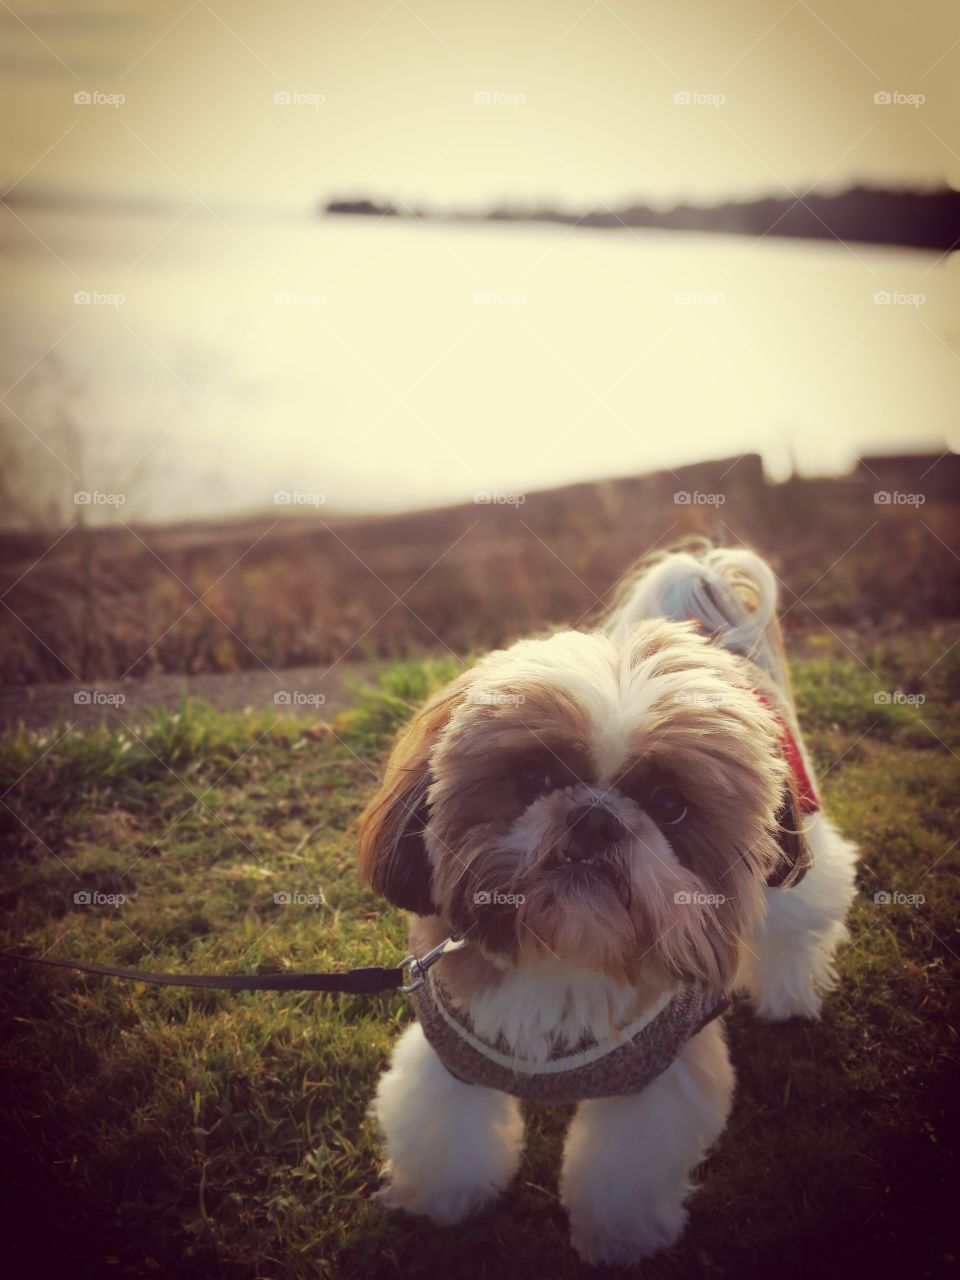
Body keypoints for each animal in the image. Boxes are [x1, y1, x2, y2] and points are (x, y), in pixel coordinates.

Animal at [358, 542, 860, 1269]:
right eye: (533, 778)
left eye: (670, 805)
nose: (596, 816)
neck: (566, 954)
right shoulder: (449, 1057)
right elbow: (445, 1133)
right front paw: (441, 1204)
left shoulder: (659, 1078)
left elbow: (623, 1172)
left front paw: (621, 1242)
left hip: (795, 865)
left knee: (798, 925)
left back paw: (789, 994)